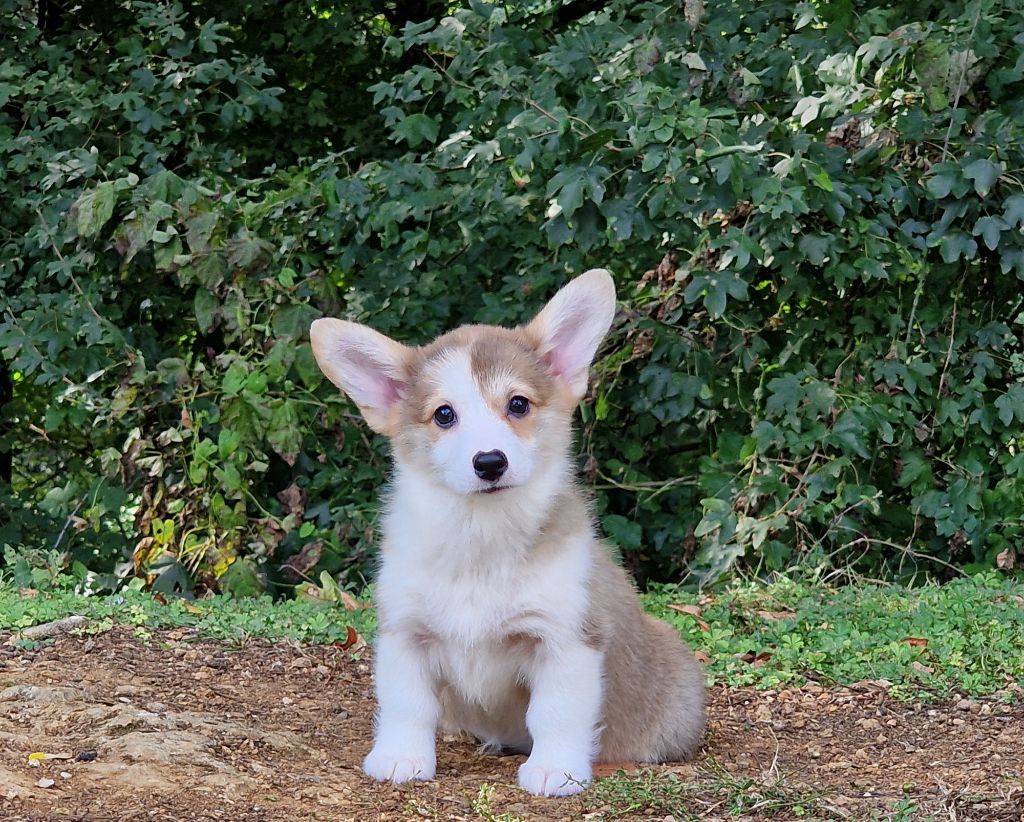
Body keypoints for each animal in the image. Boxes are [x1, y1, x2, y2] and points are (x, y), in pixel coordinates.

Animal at [309, 270, 704, 798]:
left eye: (518, 404)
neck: (481, 535)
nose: (490, 462)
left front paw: (556, 770)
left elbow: (556, 713)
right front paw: (400, 758)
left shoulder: (564, 639)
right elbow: (406, 705)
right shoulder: (405, 634)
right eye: (444, 414)